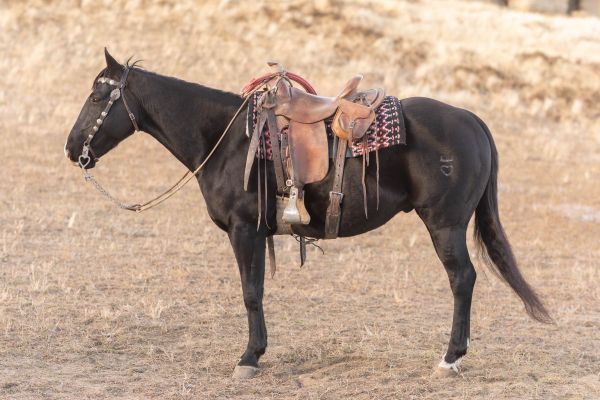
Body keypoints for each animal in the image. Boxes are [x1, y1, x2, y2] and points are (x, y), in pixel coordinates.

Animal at [64, 50, 548, 378]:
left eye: (97, 96)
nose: (72, 149)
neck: (227, 140)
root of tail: (472, 120)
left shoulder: (244, 231)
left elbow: (251, 293)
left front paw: (249, 358)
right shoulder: (256, 234)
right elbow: (256, 291)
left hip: (445, 225)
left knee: (462, 279)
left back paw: (449, 359)